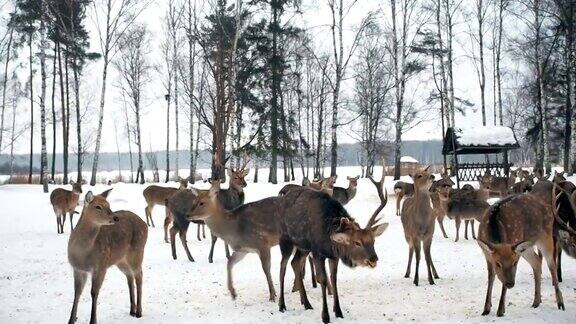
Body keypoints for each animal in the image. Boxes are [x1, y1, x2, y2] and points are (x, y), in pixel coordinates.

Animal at [66, 189, 147, 324]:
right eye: (98, 206)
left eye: (108, 205)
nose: (115, 217)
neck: (83, 253)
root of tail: (145, 224)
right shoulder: (77, 268)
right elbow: (77, 293)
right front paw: (71, 320)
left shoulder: (101, 266)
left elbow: (94, 292)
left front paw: (93, 321)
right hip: (120, 260)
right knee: (129, 276)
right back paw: (132, 310)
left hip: (137, 251)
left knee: (139, 275)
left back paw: (139, 312)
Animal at [278, 165, 390, 324]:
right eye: (357, 242)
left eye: (373, 240)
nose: (373, 259)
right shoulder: (317, 252)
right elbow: (323, 280)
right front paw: (325, 316)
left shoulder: (334, 255)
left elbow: (334, 279)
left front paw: (338, 312)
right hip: (286, 240)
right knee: (282, 266)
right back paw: (281, 305)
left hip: (303, 246)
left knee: (295, 262)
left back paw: (306, 303)